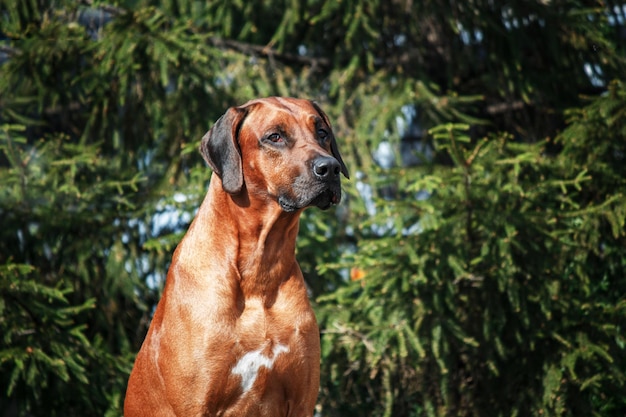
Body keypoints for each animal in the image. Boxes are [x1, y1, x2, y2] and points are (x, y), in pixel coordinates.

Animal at [122, 97, 346, 416]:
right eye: (275, 137)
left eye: (323, 132)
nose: (331, 167)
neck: (260, 271)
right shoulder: (195, 403)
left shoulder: (302, 400)